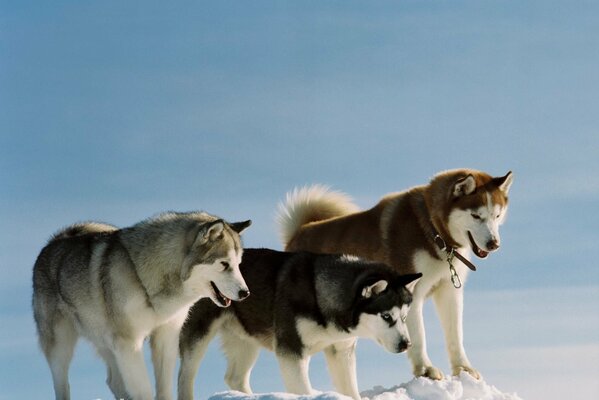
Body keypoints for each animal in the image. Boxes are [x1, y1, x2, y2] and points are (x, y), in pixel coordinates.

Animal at [32, 212, 251, 400]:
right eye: (224, 264)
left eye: (239, 263)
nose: (245, 293)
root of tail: (54, 240)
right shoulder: (129, 342)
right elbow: (144, 389)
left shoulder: (164, 337)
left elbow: (163, 388)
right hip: (61, 345)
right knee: (62, 384)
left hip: (107, 343)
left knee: (114, 381)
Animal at [178, 248, 422, 398]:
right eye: (386, 316)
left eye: (404, 317)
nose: (406, 344)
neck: (320, 293)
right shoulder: (291, 351)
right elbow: (302, 388)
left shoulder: (341, 350)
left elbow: (349, 388)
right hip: (198, 333)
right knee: (185, 375)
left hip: (246, 338)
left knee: (235, 377)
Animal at [278, 170, 512, 382]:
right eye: (476, 216)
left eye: (497, 215)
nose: (494, 244)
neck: (431, 228)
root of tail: (299, 232)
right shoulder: (411, 291)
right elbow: (418, 336)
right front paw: (425, 370)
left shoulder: (448, 290)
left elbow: (455, 335)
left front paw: (464, 370)